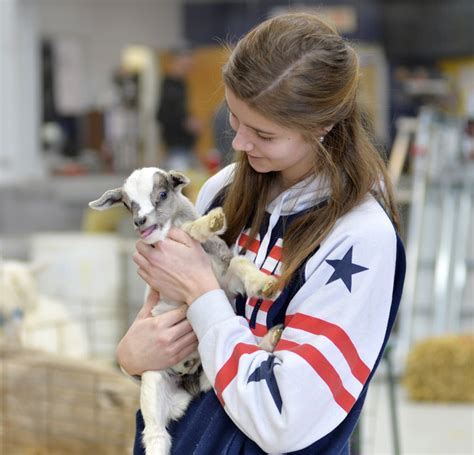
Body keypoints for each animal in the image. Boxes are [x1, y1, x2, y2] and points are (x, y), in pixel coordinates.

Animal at [89, 168, 282, 455]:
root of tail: (187, 381)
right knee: (156, 434)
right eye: (126, 204)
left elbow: (238, 261)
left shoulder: (224, 277)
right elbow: (192, 232)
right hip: (154, 382)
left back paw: (270, 338)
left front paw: (265, 285)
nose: (140, 221)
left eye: (162, 194)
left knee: (221, 376)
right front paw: (211, 222)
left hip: (208, 370)